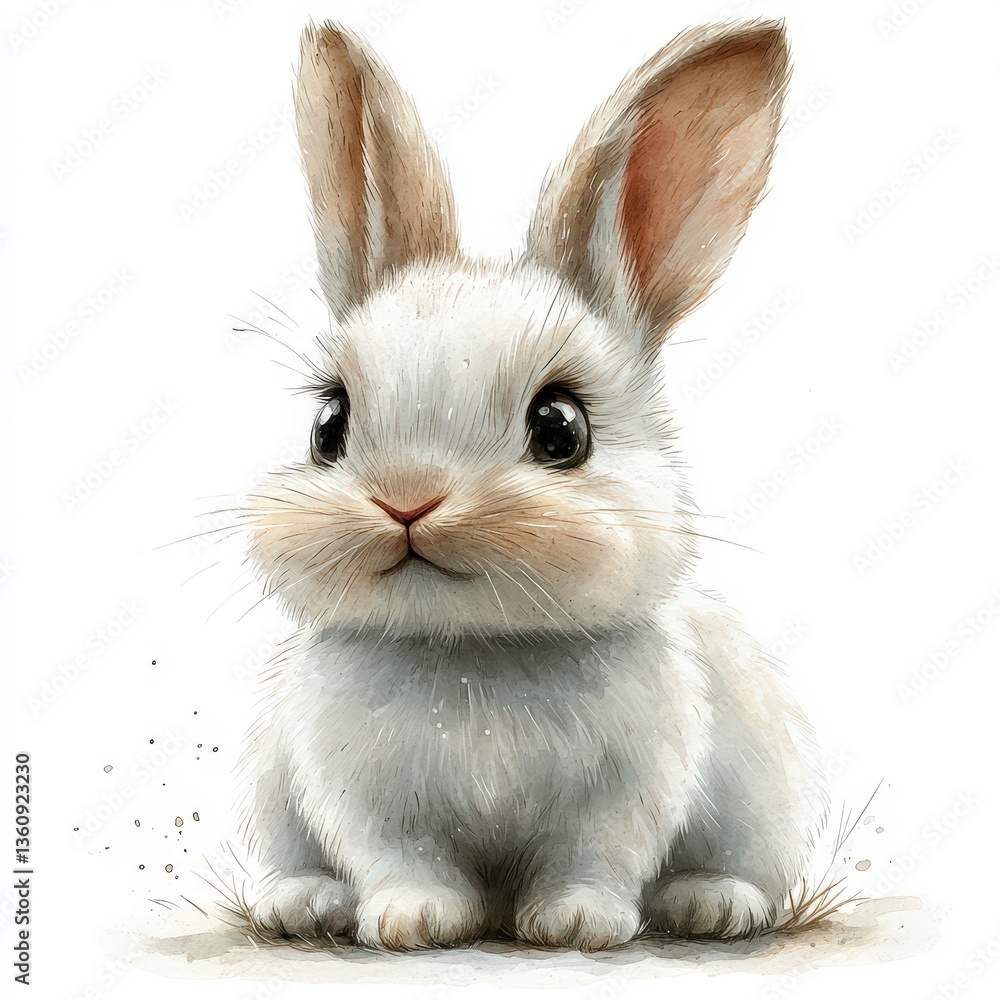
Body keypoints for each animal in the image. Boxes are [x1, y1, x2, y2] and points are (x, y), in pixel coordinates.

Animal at [234, 19, 829, 952]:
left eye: (561, 428)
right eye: (328, 427)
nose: (407, 501)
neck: (475, 653)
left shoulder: (626, 794)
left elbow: (596, 856)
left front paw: (579, 924)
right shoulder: (362, 799)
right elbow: (399, 858)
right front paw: (412, 921)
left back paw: (713, 902)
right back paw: (300, 902)